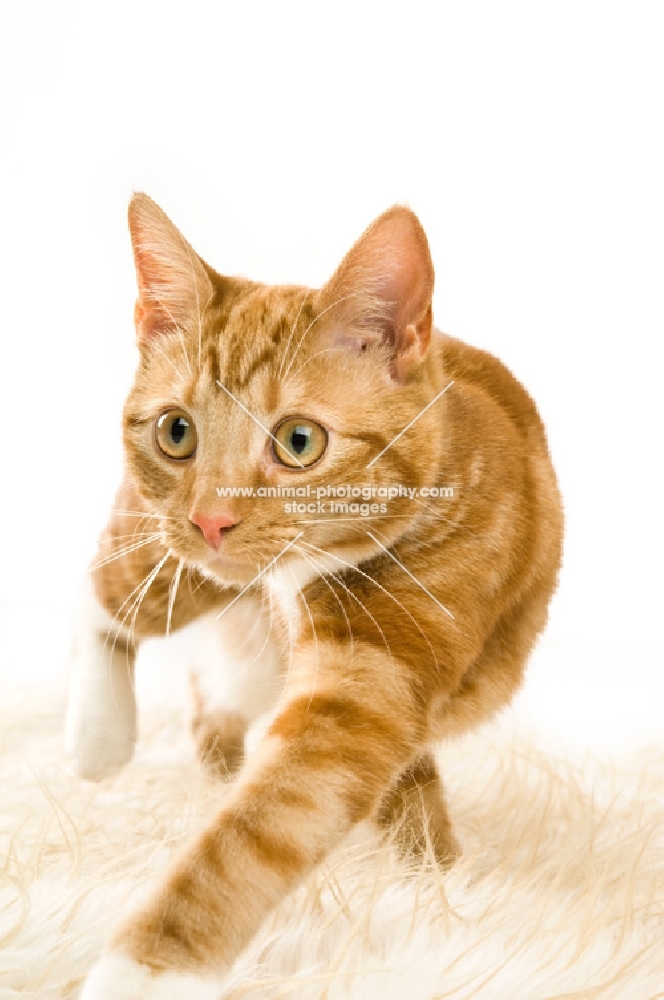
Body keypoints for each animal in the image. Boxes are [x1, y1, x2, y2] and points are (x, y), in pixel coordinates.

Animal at [70, 191, 564, 996]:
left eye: (299, 442)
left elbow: (312, 809)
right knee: (105, 598)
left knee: (209, 688)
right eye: (177, 432)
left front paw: (439, 882)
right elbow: (260, 830)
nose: (211, 519)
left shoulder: (372, 685)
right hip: (173, 566)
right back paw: (97, 738)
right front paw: (145, 970)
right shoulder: (355, 699)